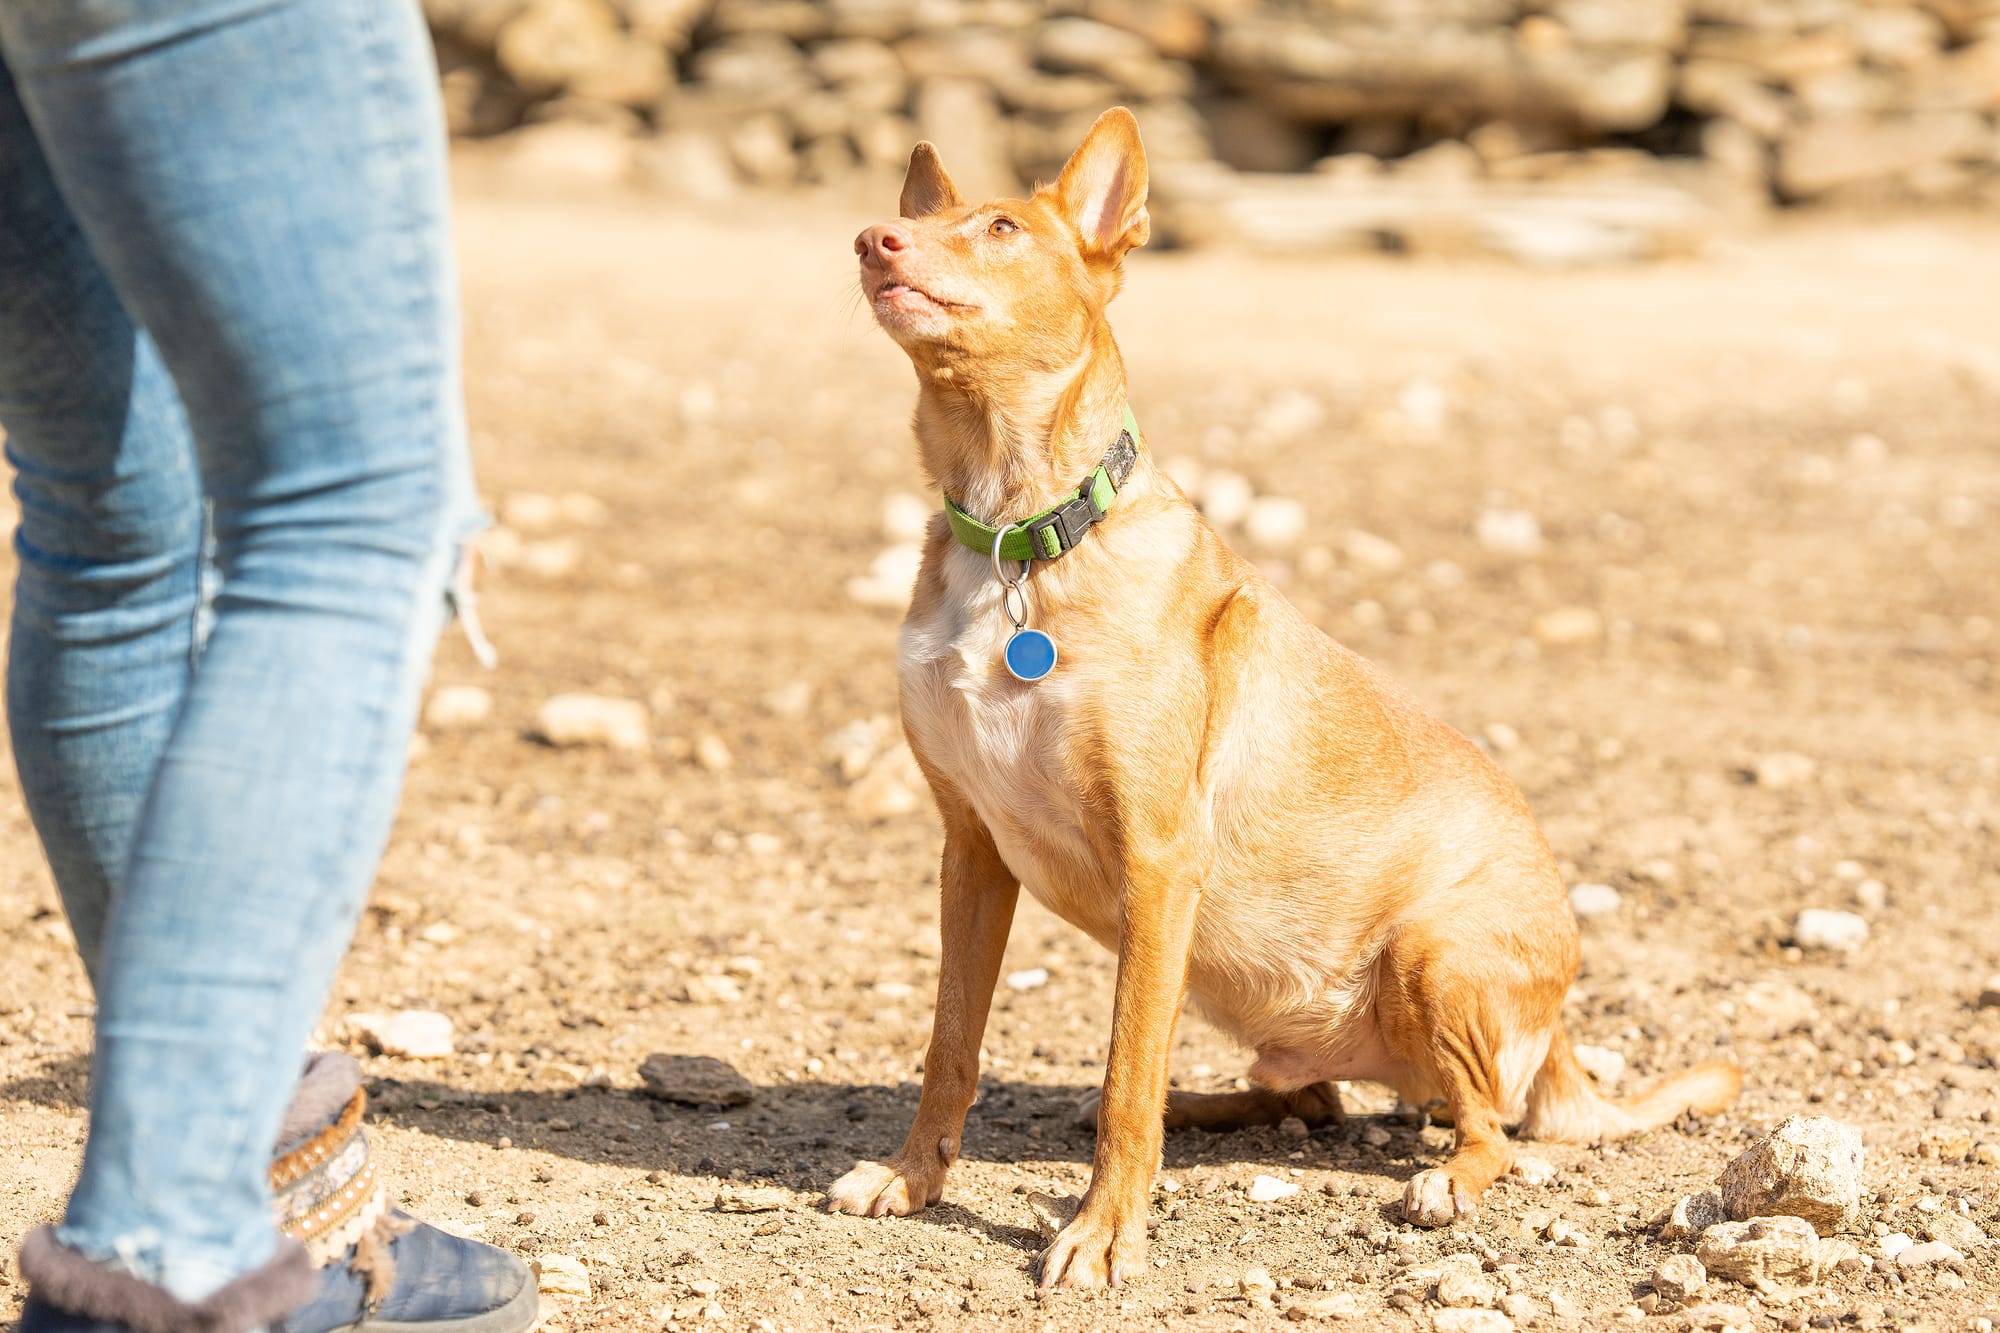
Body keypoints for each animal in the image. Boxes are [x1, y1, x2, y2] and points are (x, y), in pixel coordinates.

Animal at [824, 109, 1736, 1280]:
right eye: (923, 220)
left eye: (1001, 229)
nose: (871, 239)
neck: (1015, 536)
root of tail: (1564, 1032)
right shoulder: (970, 849)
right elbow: (951, 1044)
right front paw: (911, 1177)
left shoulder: (1158, 859)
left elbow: (1125, 1077)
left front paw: (1102, 1233)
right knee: (1310, 1099)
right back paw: (1210, 1108)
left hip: (1433, 950)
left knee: (1487, 1126)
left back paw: (1445, 1180)